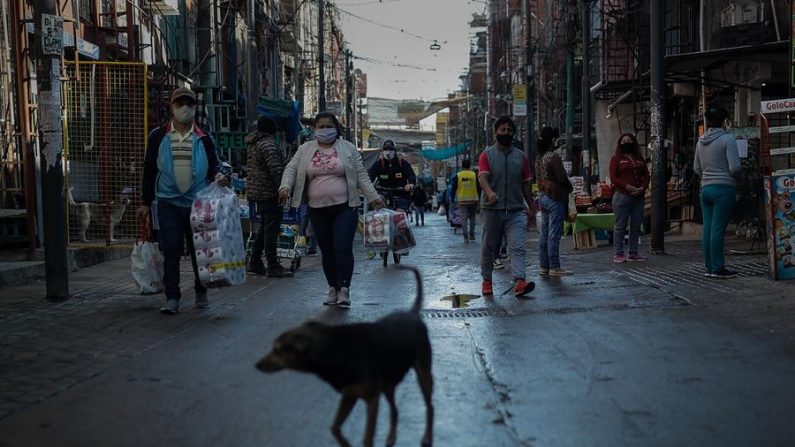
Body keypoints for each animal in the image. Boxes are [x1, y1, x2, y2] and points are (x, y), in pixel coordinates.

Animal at [256, 266, 436, 447]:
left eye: (278, 350)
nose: (257, 365)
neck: (335, 349)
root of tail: (412, 314)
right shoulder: (349, 396)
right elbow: (335, 428)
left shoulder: (371, 398)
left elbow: (367, 437)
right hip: (388, 383)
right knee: (395, 410)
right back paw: (391, 437)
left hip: (423, 374)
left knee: (430, 406)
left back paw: (427, 437)